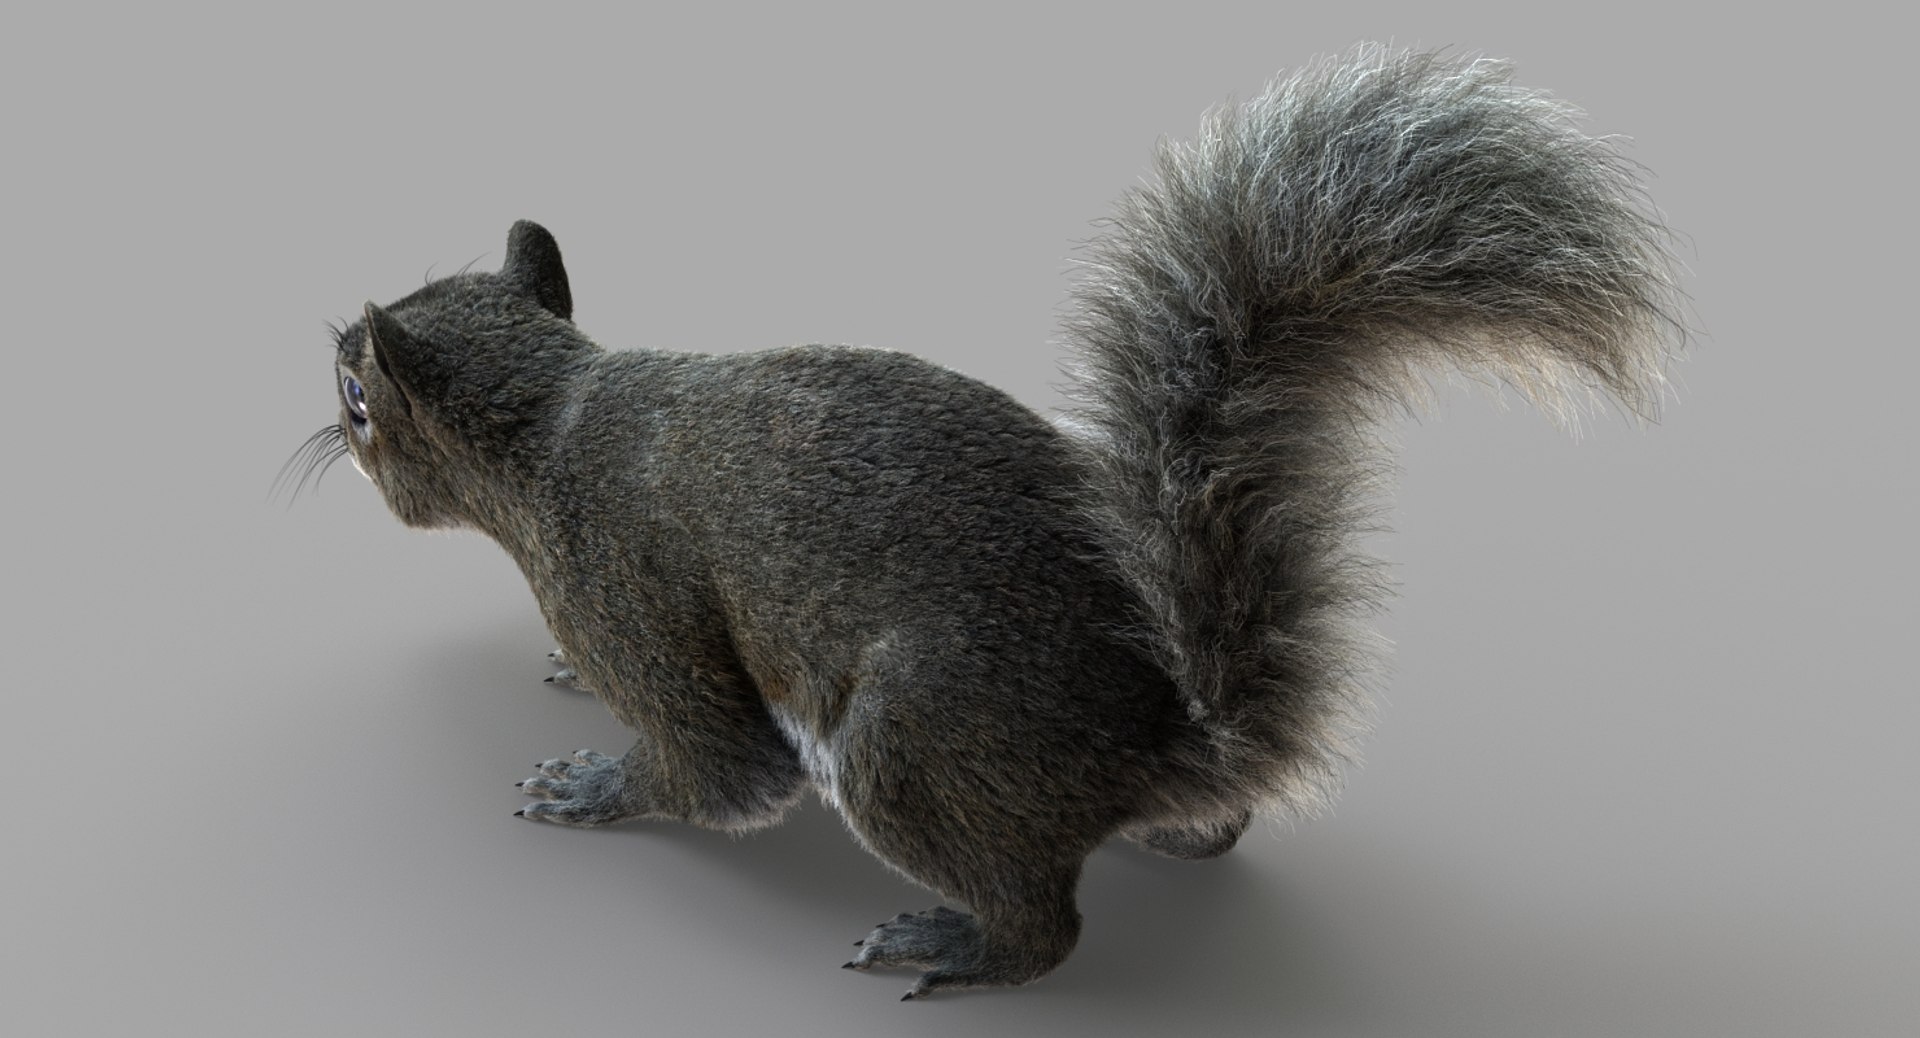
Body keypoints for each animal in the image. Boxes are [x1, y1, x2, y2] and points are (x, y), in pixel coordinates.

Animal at [304, 46, 1681, 999]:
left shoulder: (620, 587)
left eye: (361, 398)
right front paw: (557, 684)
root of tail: (1169, 747)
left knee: (1045, 926)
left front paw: (588, 784)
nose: (323, 380)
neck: (554, 421)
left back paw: (957, 946)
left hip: (910, 747)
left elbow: (715, 768)